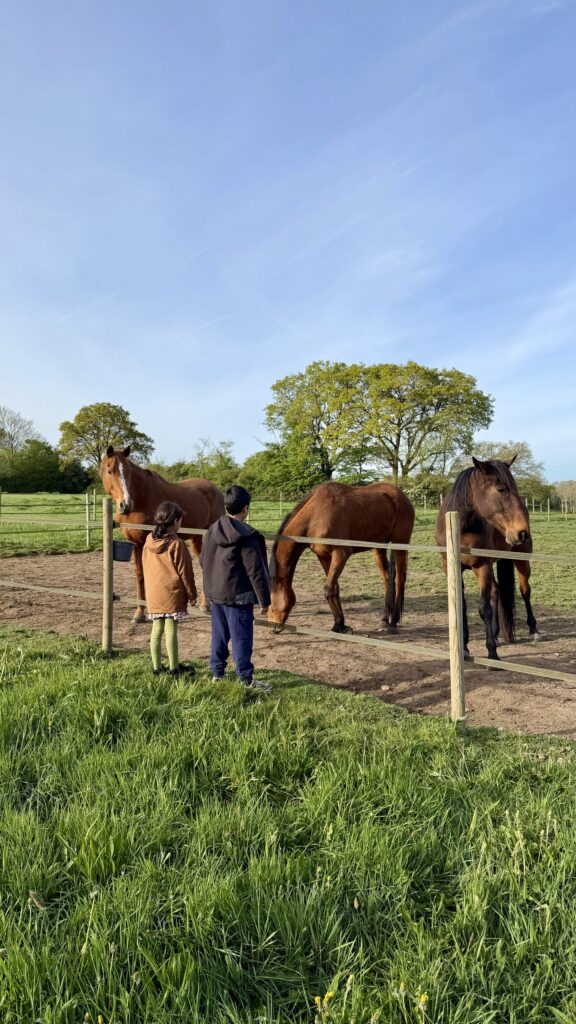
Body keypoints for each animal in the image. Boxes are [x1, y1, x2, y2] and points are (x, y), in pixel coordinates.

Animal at [100, 446, 224, 622]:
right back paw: (203, 605)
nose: (126, 505)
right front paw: (139, 613)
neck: (141, 499)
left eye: (128, 472)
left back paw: (205, 605)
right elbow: (140, 575)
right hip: (197, 538)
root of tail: (217, 491)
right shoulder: (135, 543)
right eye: (110, 470)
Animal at [268, 481, 415, 634]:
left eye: (271, 602)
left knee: (399, 580)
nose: (274, 627)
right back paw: (384, 620)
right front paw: (339, 624)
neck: (314, 517)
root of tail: (402, 496)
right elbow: (335, 588)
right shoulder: (324, 556)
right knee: (387, 579)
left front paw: (340, 625)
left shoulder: (341, 554)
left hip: (400, 544)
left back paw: (393, 622)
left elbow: (328, 589)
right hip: (379, 548)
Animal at [436, 456, 539, 660]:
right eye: (501, 488)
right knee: (496, 592)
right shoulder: (451, 568)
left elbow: (485, 609)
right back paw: (497, 633)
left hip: (521, 561)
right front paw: (464, 648)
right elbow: (462, 606)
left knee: (525, 591)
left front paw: (492, 653)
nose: (522, 532)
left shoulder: (482, 566)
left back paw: (533, 630)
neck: (461, 528)